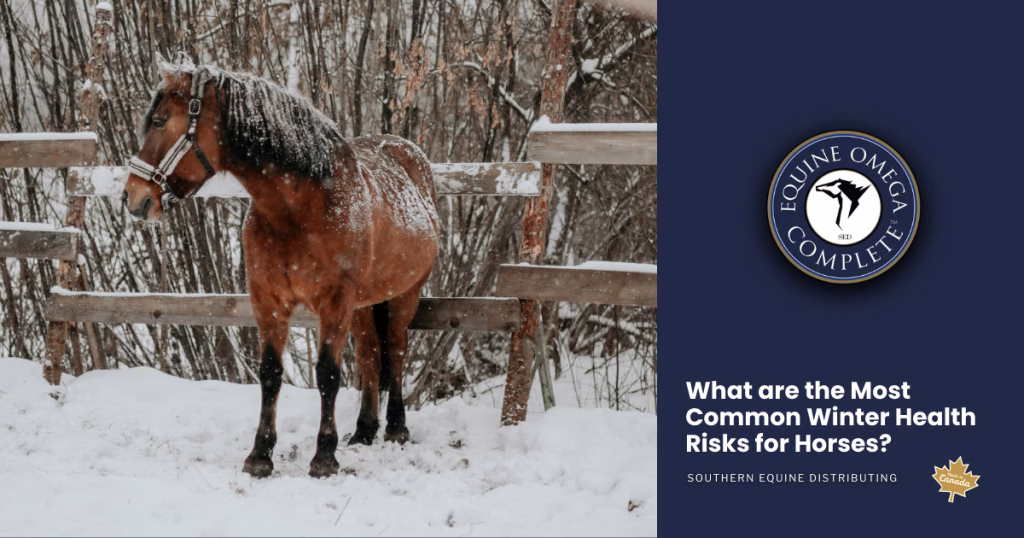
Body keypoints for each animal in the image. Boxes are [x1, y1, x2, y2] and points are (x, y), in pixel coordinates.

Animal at [122, 63, 440, 478]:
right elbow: (271, 373)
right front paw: (260, 455)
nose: (132, 196)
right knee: (371, 354)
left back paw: (397, 428)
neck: (299, 208)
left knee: (397, 350)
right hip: (363, 305)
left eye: (159, 121)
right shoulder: (269, 301)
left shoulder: (335, 304)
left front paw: (324, 456)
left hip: (405, 294)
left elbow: (328, 374)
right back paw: (364, 431)